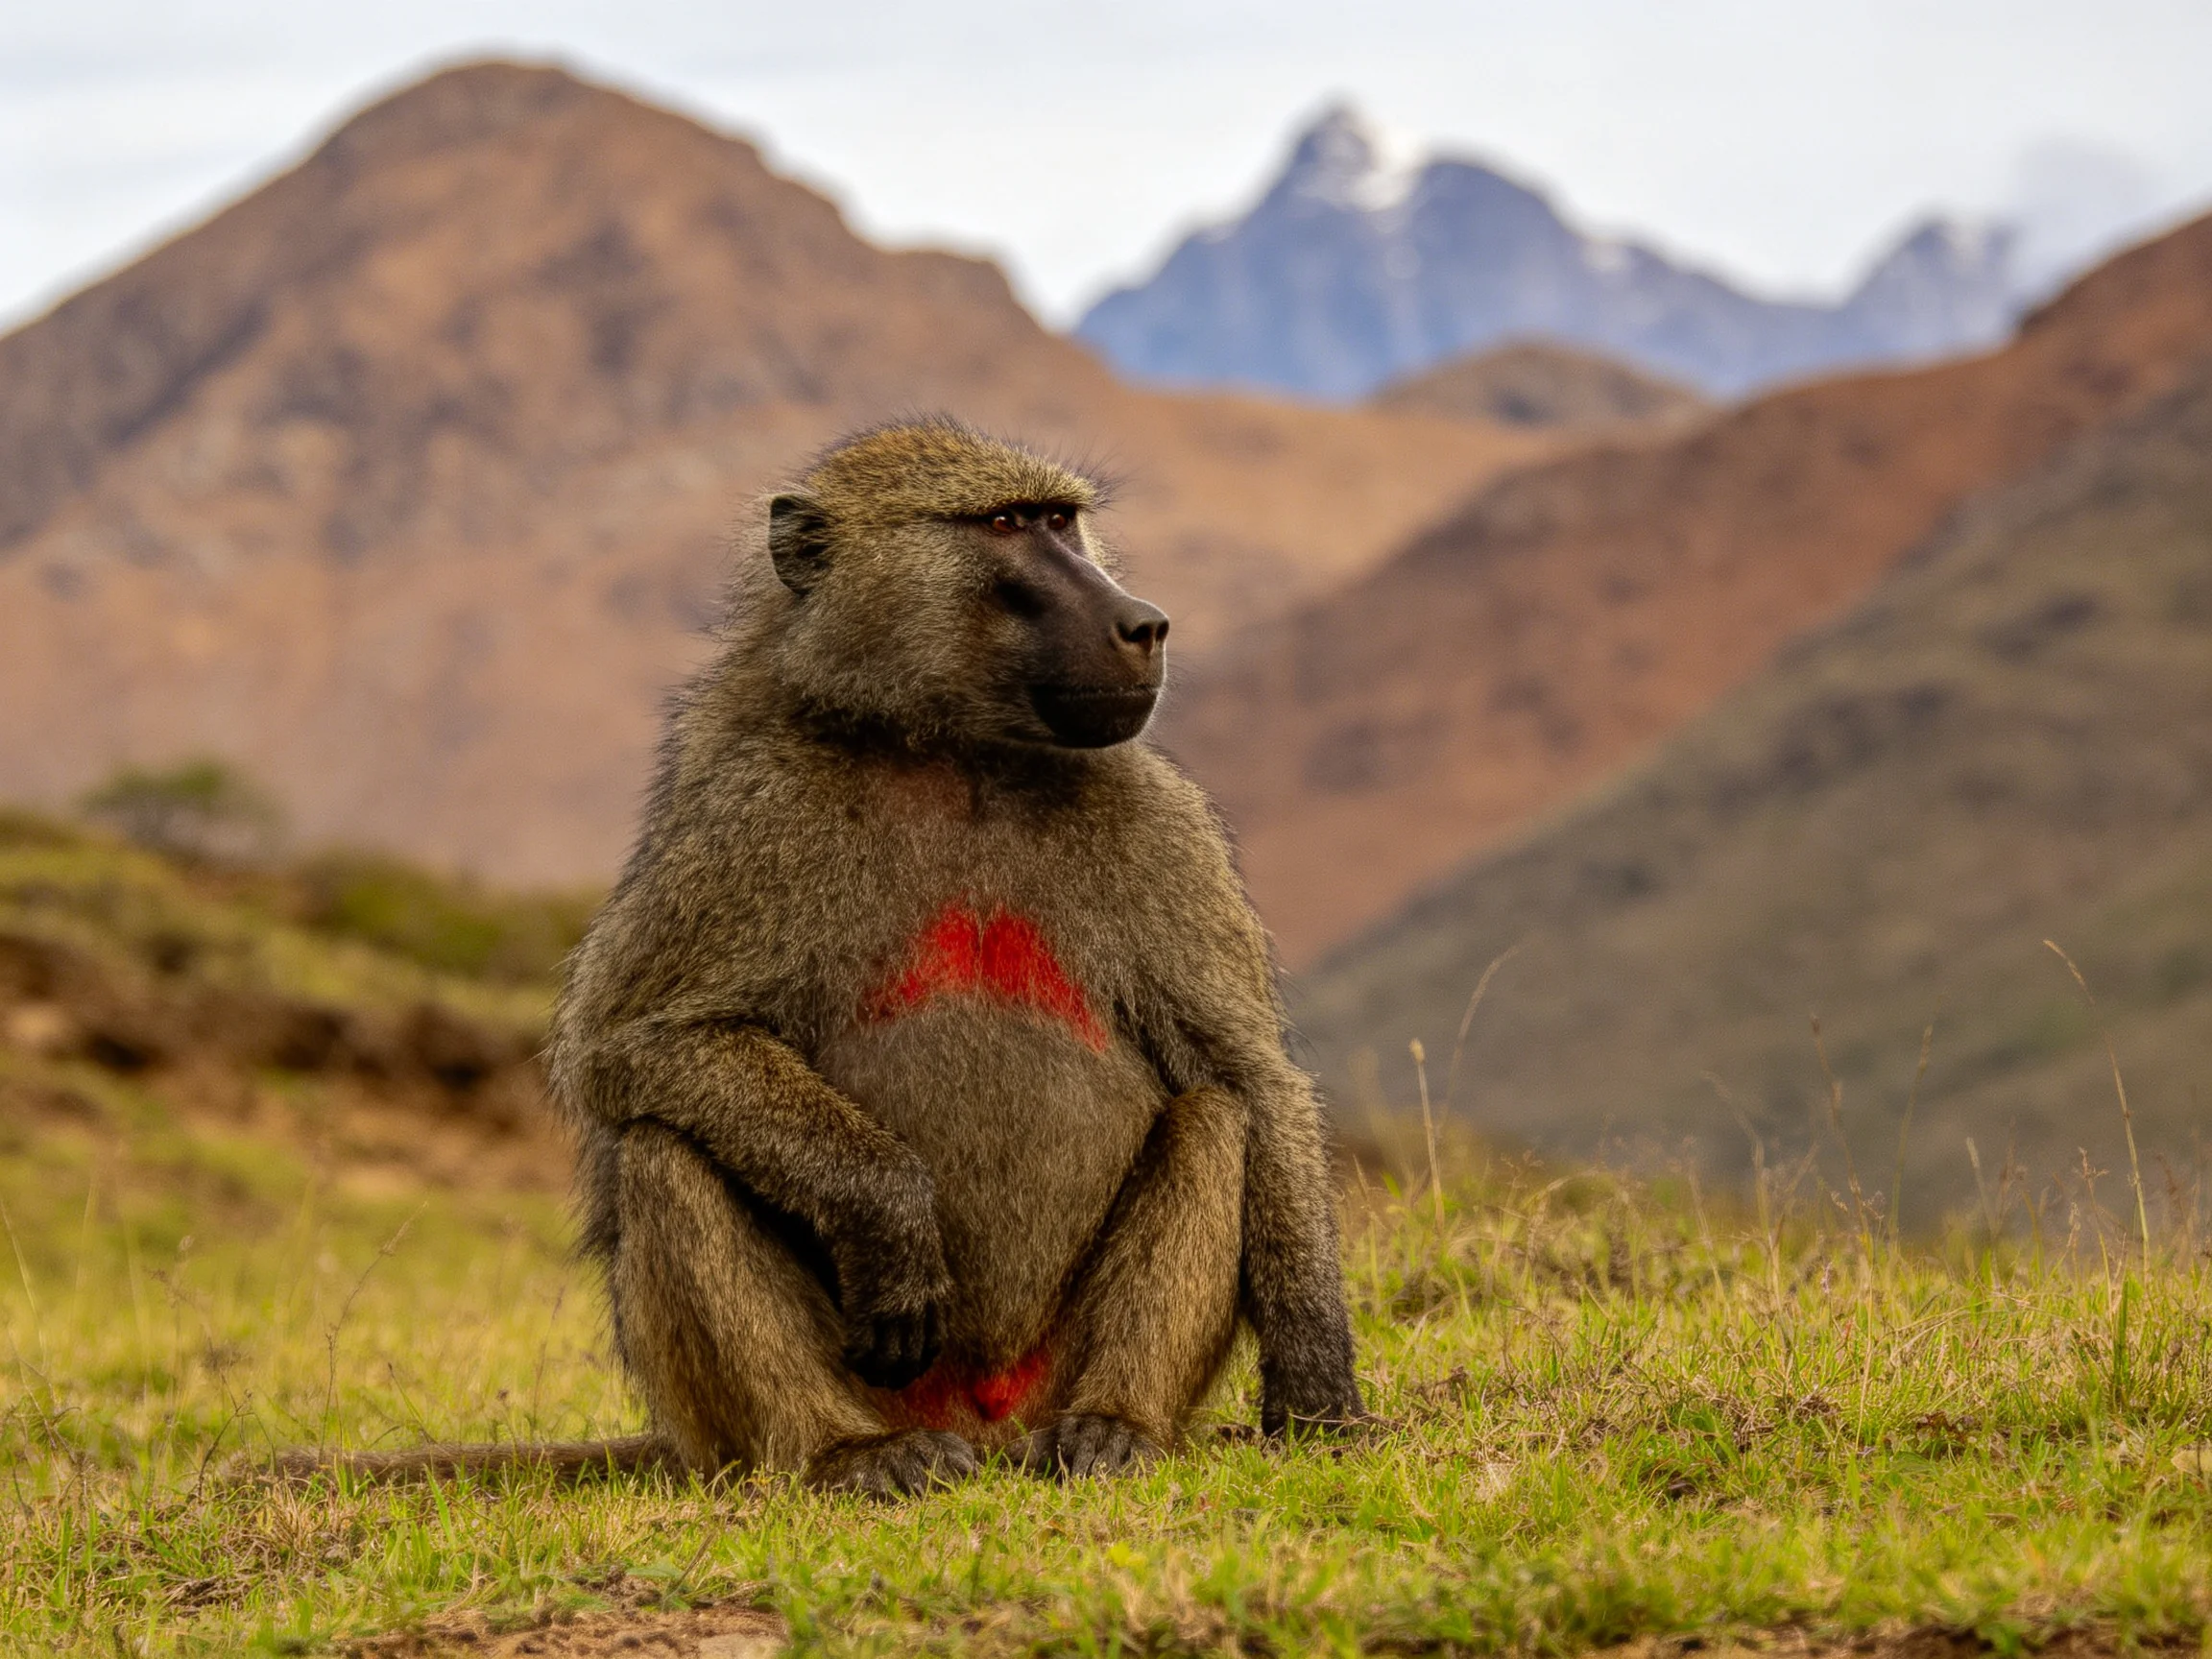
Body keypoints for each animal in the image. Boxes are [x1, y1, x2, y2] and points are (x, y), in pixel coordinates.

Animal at [251, 418, 1362, 1497]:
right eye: (1004, 524)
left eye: (1062, 520)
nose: (1143, 624)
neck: (957, 755)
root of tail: (984, 1428)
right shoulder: (758, 808)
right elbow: (632, 1042)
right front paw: (889, 1213)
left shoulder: (1158, 819)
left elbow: (1248, 1077)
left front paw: (1317, 1389)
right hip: (800, 1406)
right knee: (667, 1150)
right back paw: (850, 1453)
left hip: (1047, 1375)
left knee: (1212, 1121)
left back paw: (1114, 1428)